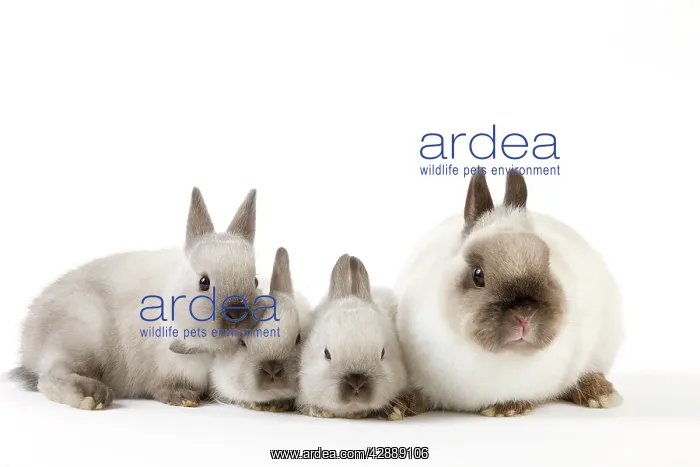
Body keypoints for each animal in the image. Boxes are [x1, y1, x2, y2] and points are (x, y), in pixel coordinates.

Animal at [9, 187, 260, 410]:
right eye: (204, 282)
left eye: (255, 281)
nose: (237, 313)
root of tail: (28, 345)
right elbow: (160, 384)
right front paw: (182, 397)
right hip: (84, 332)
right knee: (50, 377)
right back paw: (93, 397)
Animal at [391, 170, 624, 417]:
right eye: (478, 274)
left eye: (548, 265)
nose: (524, 316)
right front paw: (396, 407)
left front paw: (507, 408)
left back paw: (601, 394)